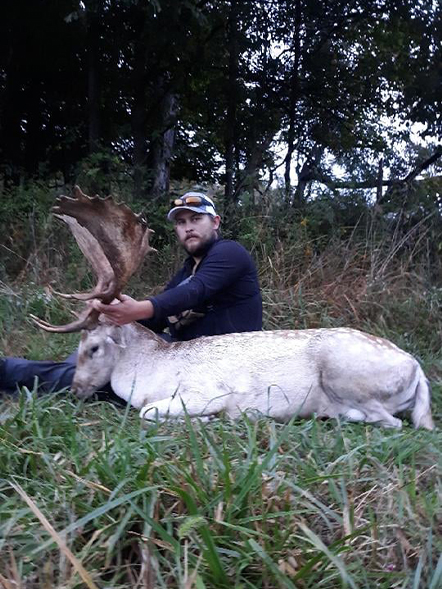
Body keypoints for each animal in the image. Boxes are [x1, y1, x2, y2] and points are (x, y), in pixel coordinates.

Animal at [32, 186, 434, 430]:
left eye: (93, 347)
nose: (76, 390)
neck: (150, 371)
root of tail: (417, 369)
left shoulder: (204, 391)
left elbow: (149, 412)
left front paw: (212, 419)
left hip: (347, 373)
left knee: (393, 421)